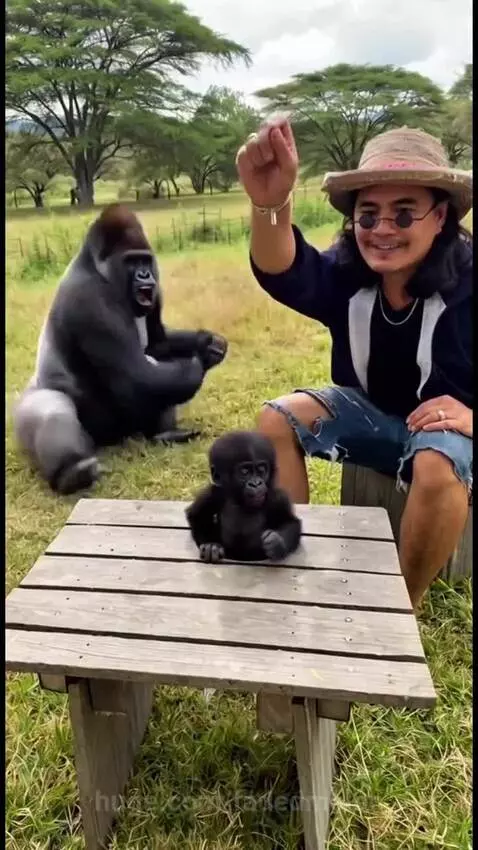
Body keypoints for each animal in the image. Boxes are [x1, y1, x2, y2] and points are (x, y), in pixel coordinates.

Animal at [13, 204, 228, 495]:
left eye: (145, 261)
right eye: (131, 262)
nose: (144, 275)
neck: (96, 268)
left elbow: (157, 345)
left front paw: (206, 342)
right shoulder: (91, 301)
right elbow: (137, 376)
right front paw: (200, 359)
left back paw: (165, 433)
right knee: (51, 411)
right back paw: (72, 473)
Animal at [185, 430, 302, 562]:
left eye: (261, 470)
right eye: (244, 472)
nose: (256, 483)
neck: (240, 500)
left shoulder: (278, 498)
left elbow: (291, 522)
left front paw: (277, 543)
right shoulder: (212, 493)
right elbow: (197, 515)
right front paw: (211, 545)